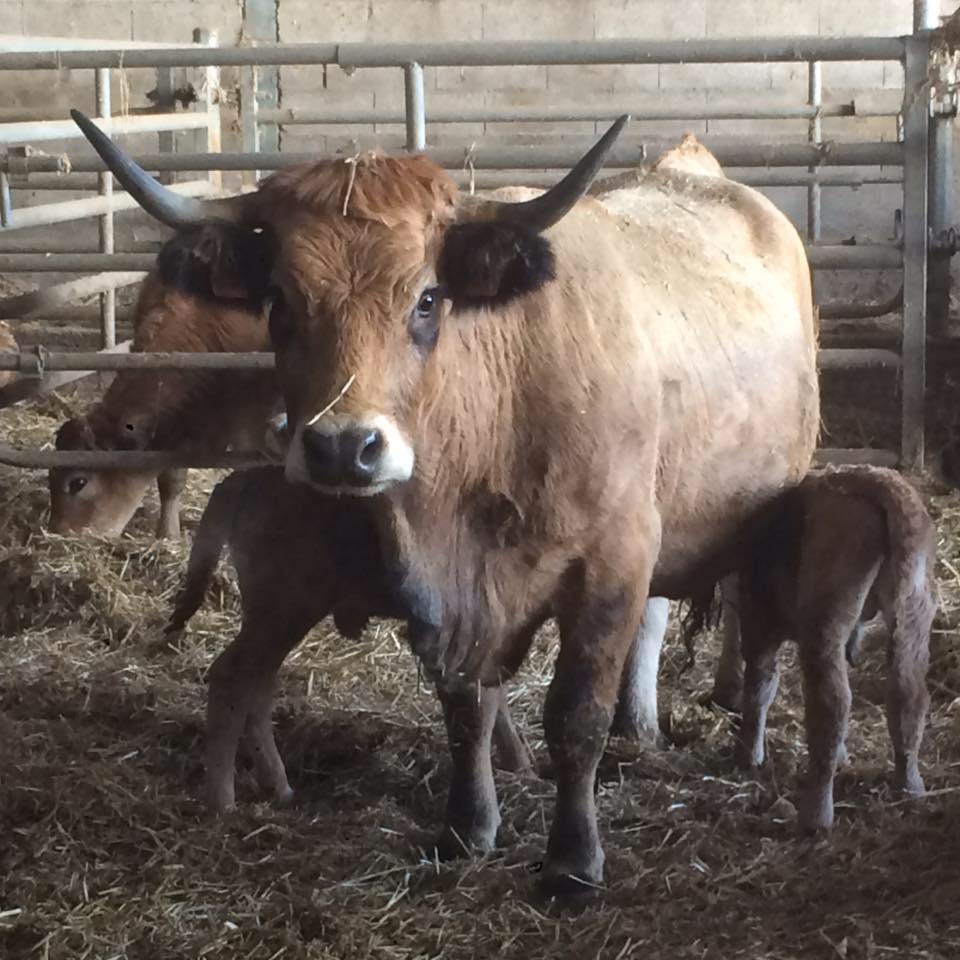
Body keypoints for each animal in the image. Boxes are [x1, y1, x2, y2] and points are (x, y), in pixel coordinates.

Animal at [169, 468, 536, 812]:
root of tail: (239, 479)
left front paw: (521, 763)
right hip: (285, 606)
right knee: (232, 675)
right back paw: (223, 802)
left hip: (275, 615)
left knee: (257, 685)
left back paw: (279, 787)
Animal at [732, 464, 932, 832]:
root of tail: (877, 483)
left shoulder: (759, 623)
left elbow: (760, 686)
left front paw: (748, 756)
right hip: (914, 608)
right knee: (908, 694)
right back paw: (910, 786)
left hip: (824, 617)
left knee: (831, 703)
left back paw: (816, 816)